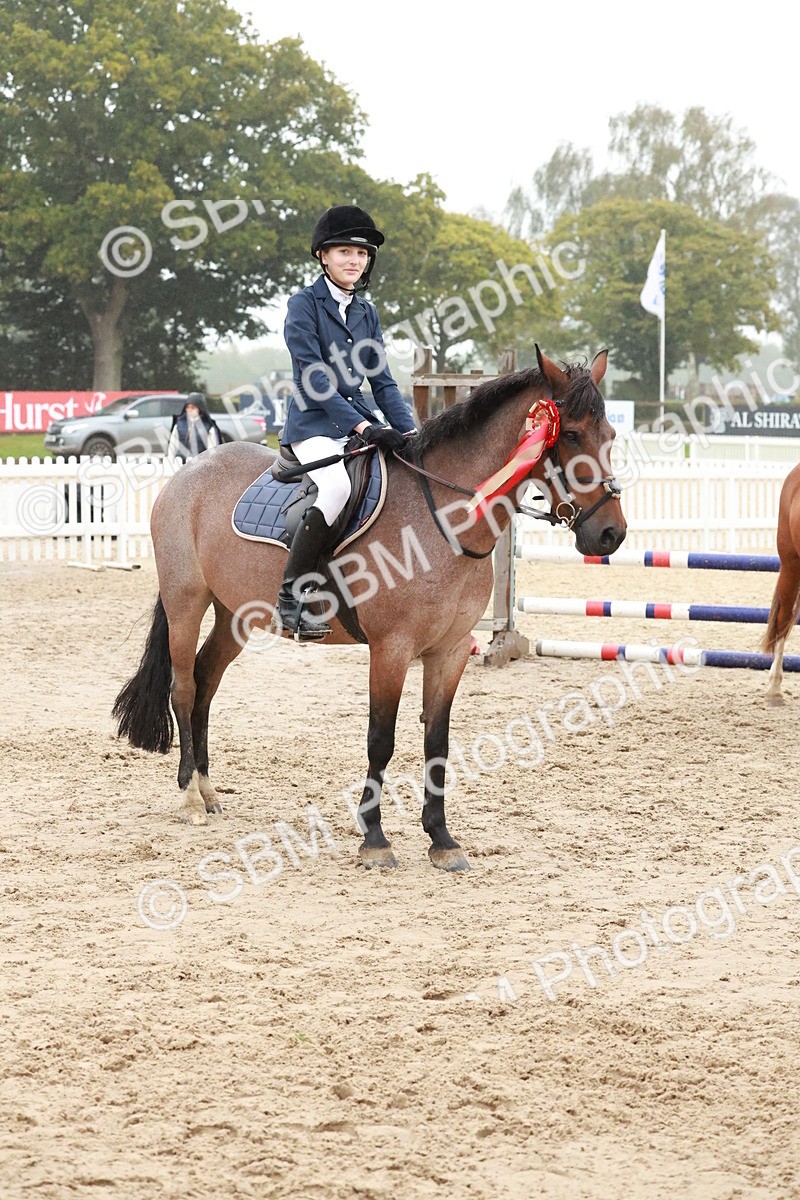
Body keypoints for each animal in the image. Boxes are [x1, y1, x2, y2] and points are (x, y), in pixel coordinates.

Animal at [113, 348, 627, 871]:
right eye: (570, 434)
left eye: (609, 435)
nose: (611, 534)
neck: (443, 518)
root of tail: (189, 470)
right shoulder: (391, 649)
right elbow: (382, 739)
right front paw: (375, 839)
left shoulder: (451, 650)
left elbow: (437, 741)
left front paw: (442, 839)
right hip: (186, 602)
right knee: (183, 687)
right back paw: (189, 799)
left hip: (235, 615)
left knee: (206, 683)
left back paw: (207, 789)